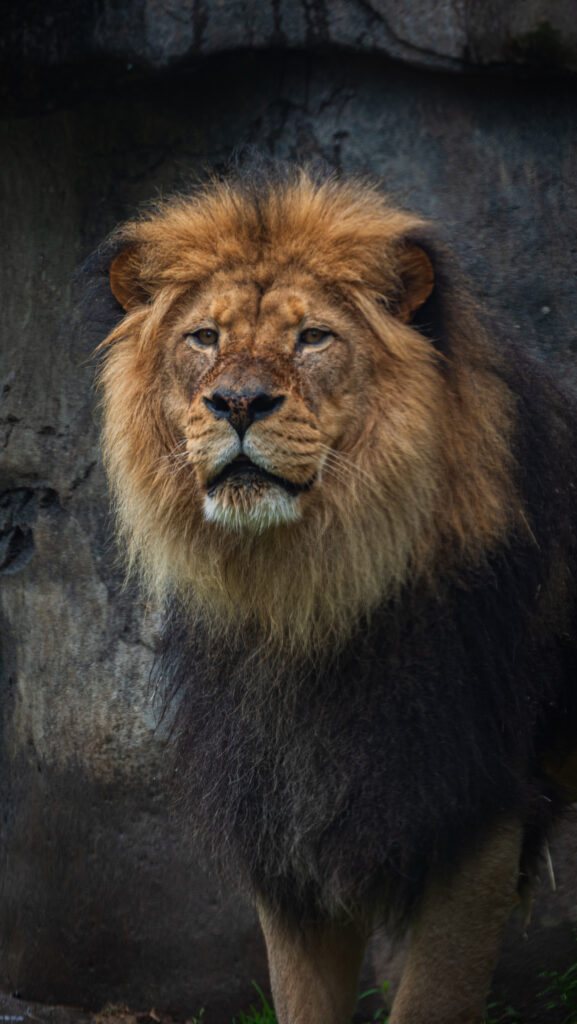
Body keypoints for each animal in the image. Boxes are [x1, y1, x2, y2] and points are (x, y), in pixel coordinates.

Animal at [95, 165, 577, 1024]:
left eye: (312, 338)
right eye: (204, 338)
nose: (238, 403)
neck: (305, 594)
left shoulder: (473, 808)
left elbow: (430, 999)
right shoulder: (286, 813)